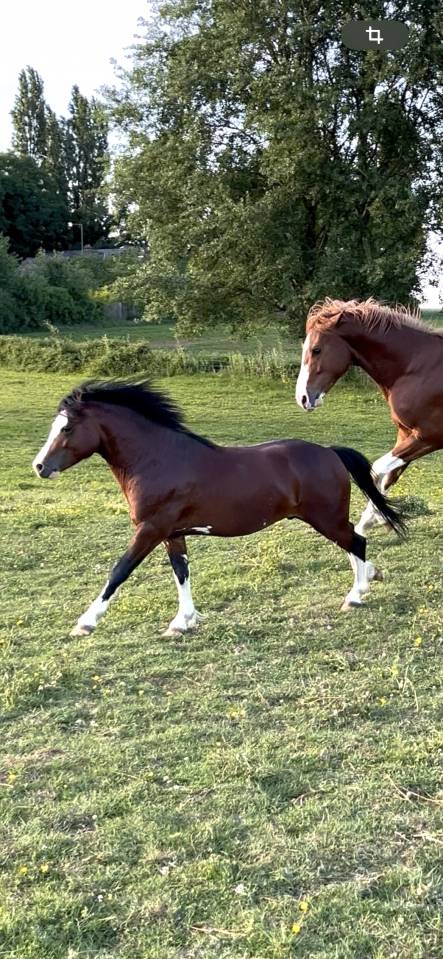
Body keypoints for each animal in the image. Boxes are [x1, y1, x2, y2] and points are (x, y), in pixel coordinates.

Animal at [32, 380, 404, 634]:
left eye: (66, 427)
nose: (39, 466)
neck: (158, 460)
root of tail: (330, 452)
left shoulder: (150, 530)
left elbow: (119, 571)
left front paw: (85, 623)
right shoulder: (171, 533)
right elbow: (181, 573)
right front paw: (181, 623)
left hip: (326, 518)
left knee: (357, 542)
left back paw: (355, 597)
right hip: (327, 518)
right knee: (353, 543)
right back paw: (369, 579)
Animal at [296, 297, 443, 535]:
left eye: (316, 350)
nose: (302, 398)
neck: (417, 367)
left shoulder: (429, 437)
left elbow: (375, 471)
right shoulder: (406, 435)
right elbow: (387, 476)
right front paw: (371, 522)